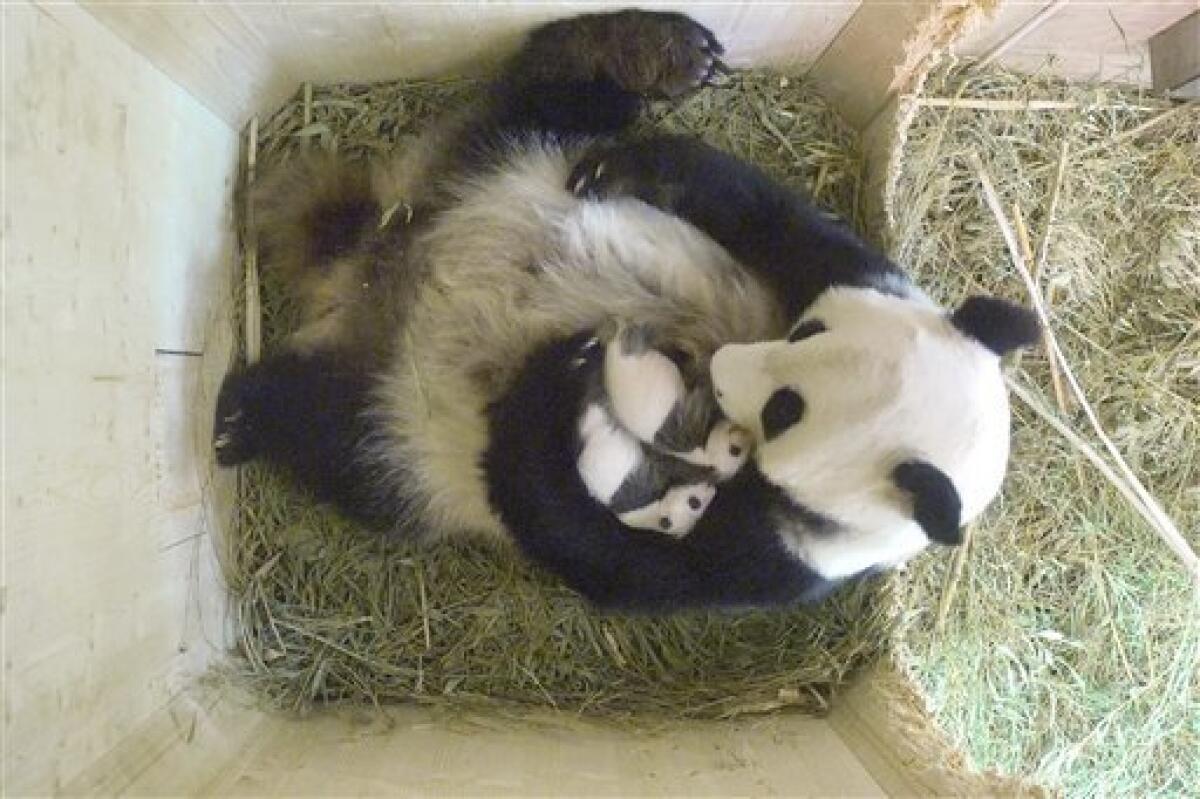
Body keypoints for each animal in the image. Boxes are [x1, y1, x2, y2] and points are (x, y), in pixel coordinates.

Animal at [211, 9, 1036, 609]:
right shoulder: (856, 273)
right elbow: (766, 213)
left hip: (403, 420)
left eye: (782, 415)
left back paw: (243, 415)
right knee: (551, 84)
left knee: (334, 438)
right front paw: (633, 167)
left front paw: (546, 386)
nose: (718, 365)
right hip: (513, 151)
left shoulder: (790, 555)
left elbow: (627, 565)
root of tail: (374, 267)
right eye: (806, 332)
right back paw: (661, 51)